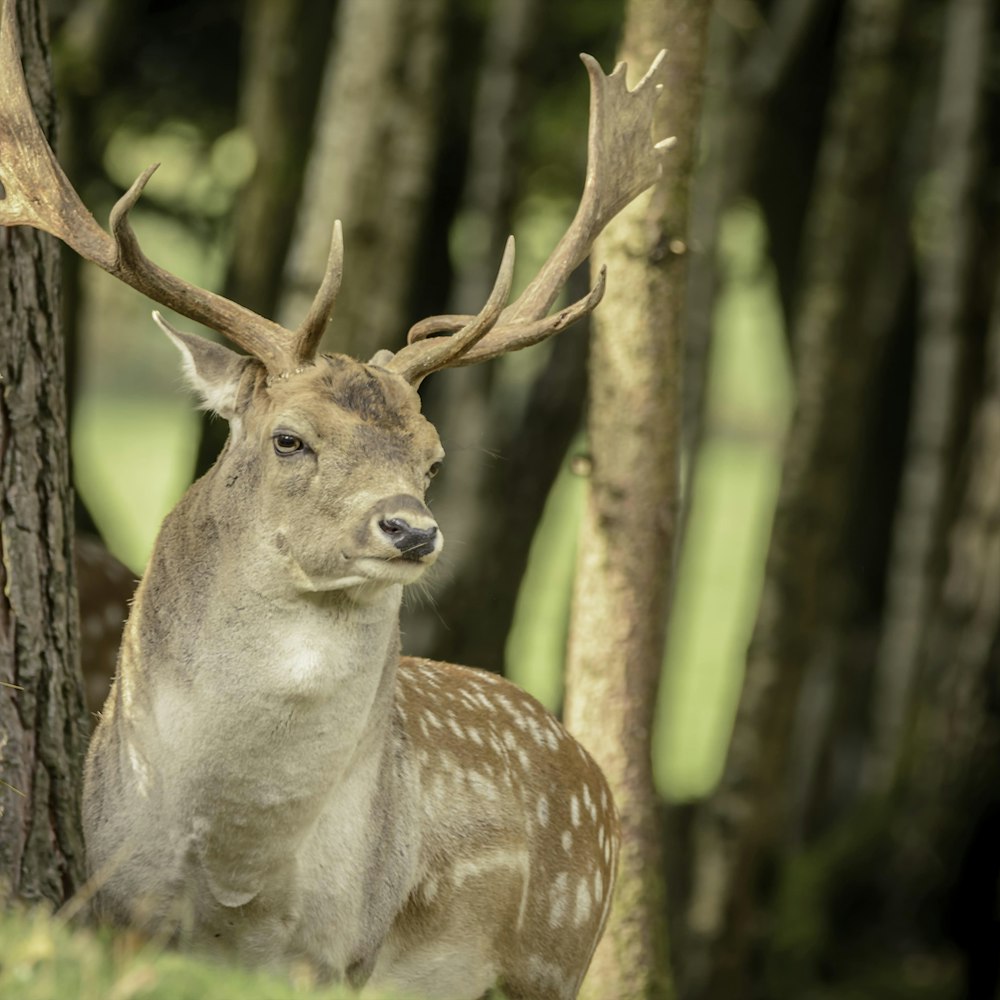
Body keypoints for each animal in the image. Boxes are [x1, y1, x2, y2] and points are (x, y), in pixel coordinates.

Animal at [1, 3, 672, 996]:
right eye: (290, 438)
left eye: (431, 458)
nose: (411, 529)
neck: (233, 872)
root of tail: (591, 768)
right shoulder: (118, 907)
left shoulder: (338, 948)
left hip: (556, 950)